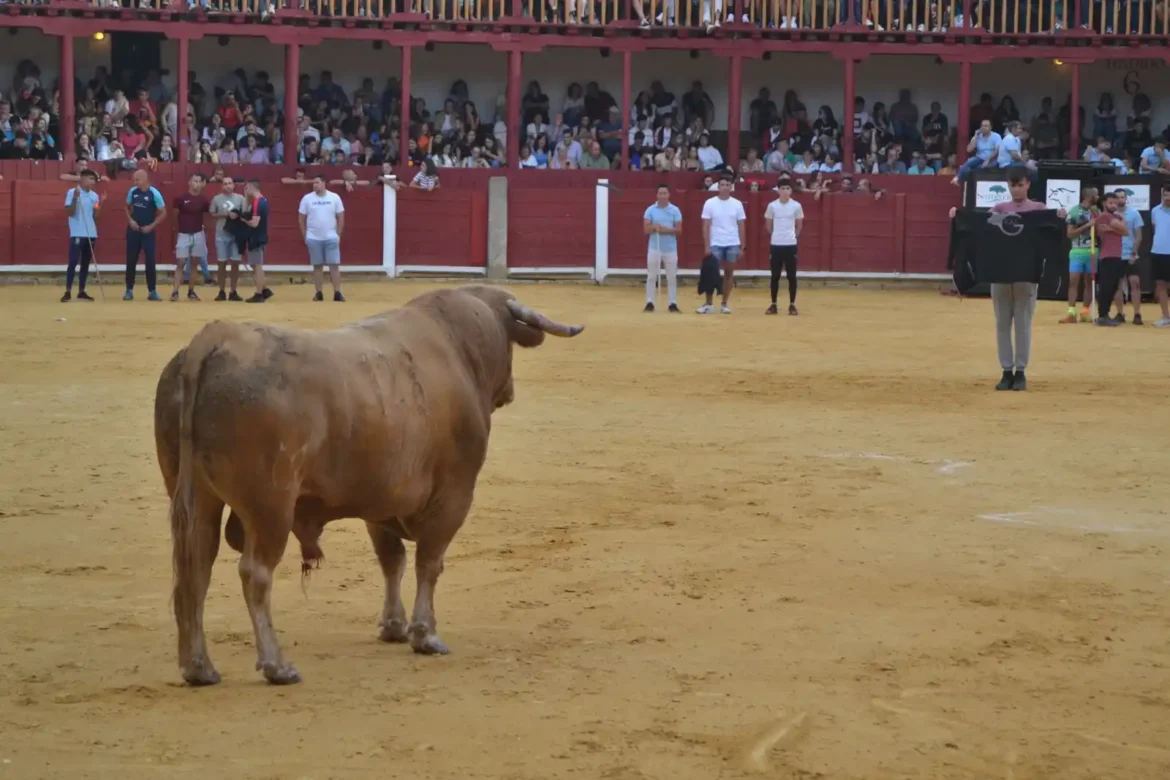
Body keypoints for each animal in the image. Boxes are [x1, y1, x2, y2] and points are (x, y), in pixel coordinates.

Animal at [153, 285, 582, 682]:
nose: (509, 391)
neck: (456, 347)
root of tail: (216, 338)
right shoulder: (454, 494)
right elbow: (429, 562)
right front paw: (425, 634)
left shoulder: (383, 499)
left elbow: (392, 560)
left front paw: (394, 626)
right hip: (270, 506)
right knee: (255, 572)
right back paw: (276, 665)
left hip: (198, 498)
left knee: (195, 567)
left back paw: (198, 667)